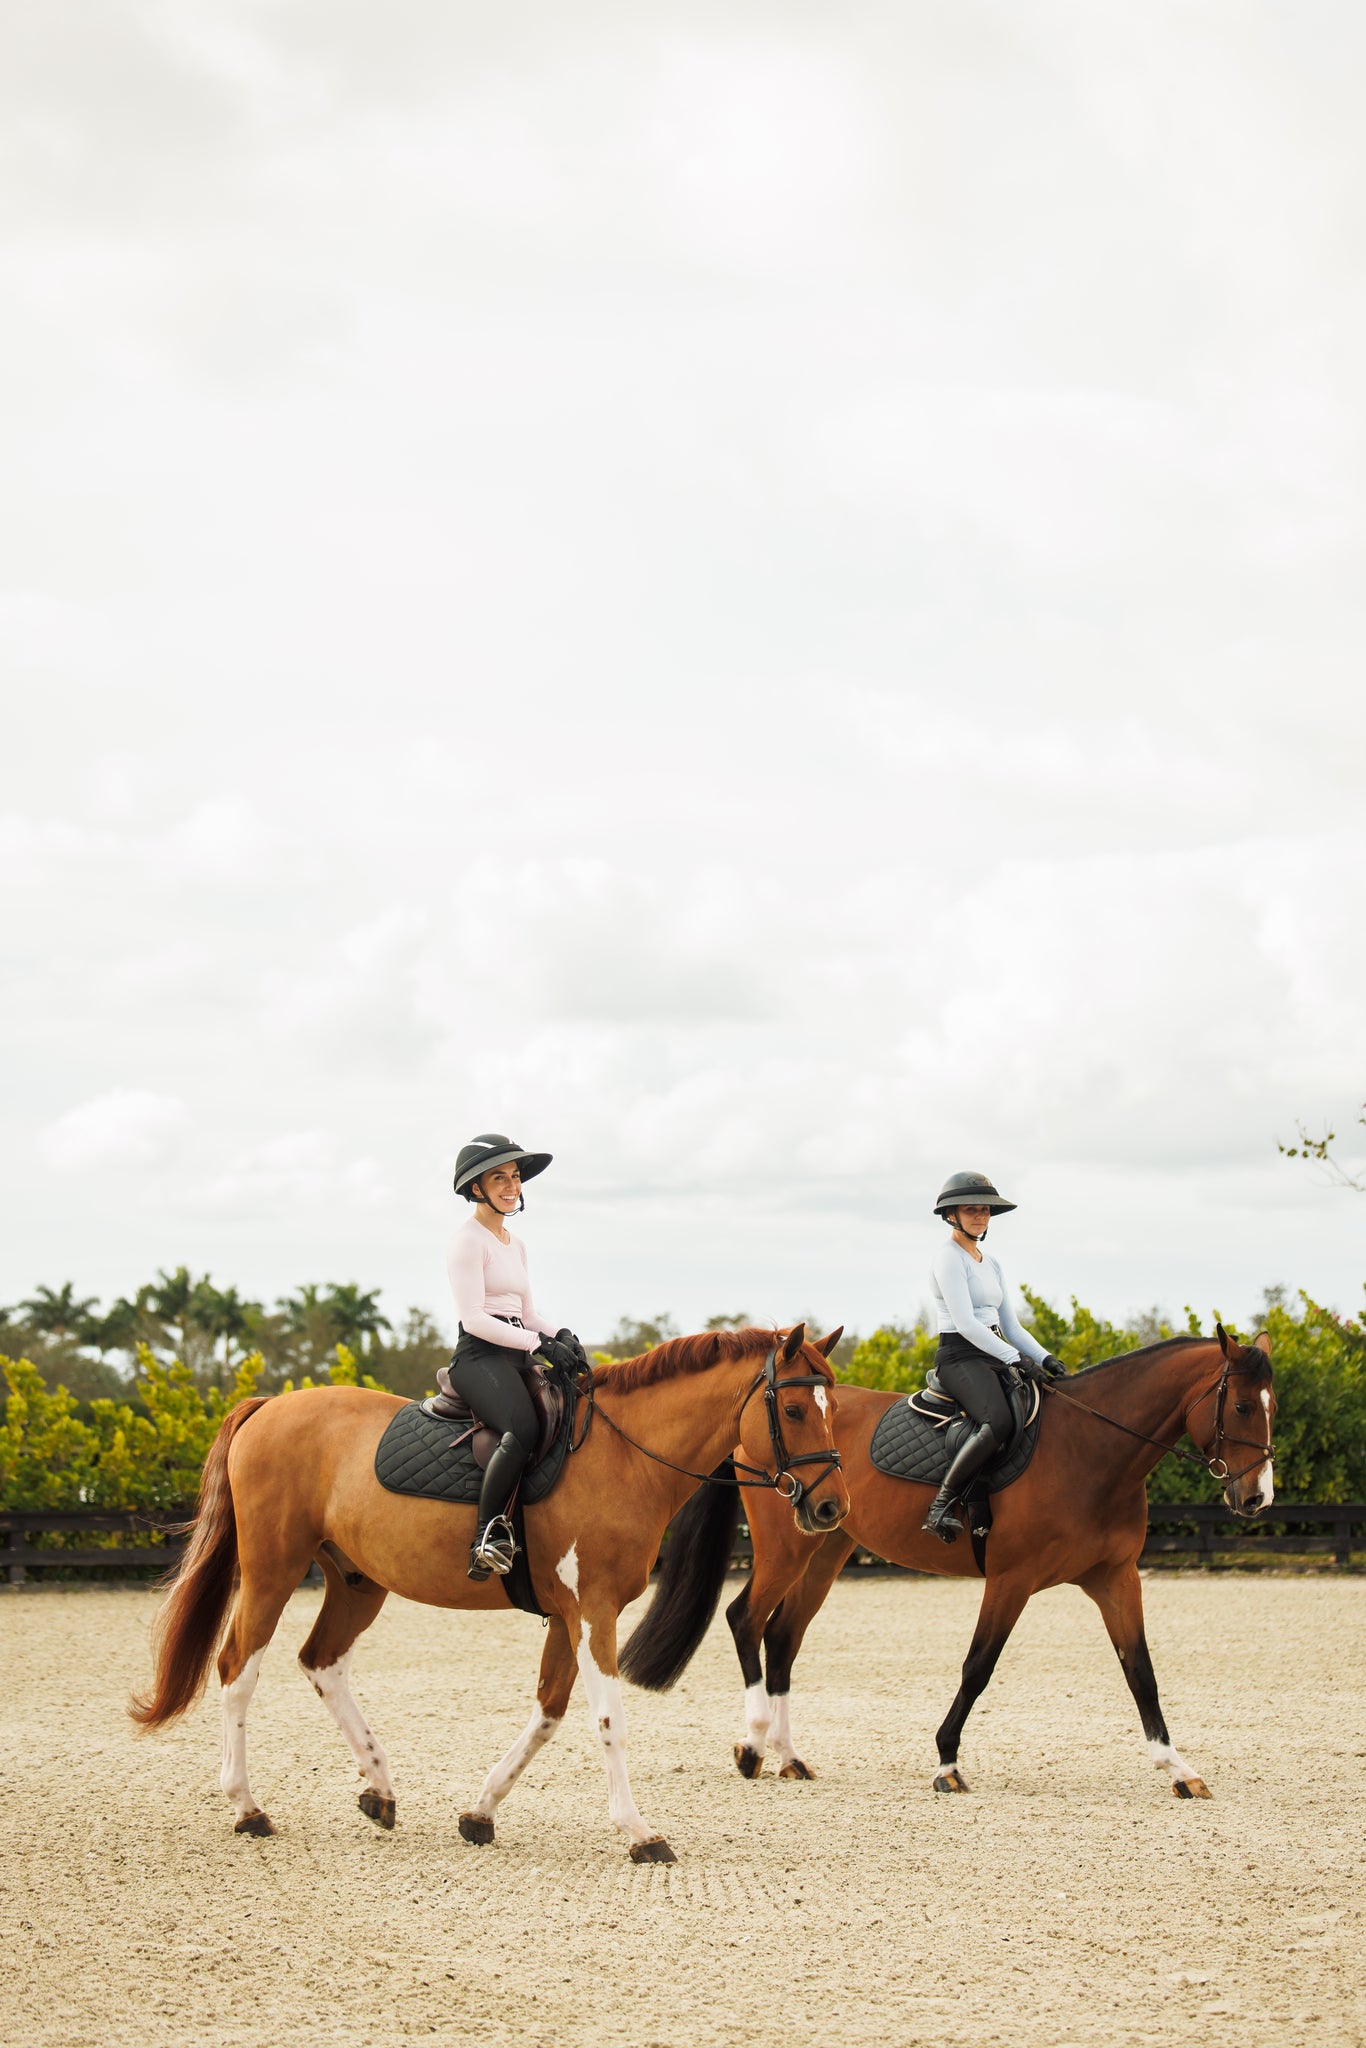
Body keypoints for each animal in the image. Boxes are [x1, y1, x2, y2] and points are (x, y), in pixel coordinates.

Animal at [133, 1318, 847, 1867]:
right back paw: (247, 1806)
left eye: (833, 1410)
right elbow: (609, 1721)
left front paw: (480, 1812)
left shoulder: (569, 1615)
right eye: (791, 1410)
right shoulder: (594, 1612)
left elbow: (549, 1714)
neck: (624, 1457)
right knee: (238, 1669)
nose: (831, 1508)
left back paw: (379, 1787)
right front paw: (640, 1833)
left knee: (322, 1663)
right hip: (273, 1571)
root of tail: (267, 1407)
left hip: (358, 1582)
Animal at [626, 1327, 1277, 1794]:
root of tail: (744, 1428)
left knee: (783, 1636)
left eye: (1272, 1406)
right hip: (789, 1549)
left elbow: (1140, 1670)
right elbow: (978, 1667)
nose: (1256, 1498)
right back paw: (754, 1748)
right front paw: (946, 1762)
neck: (1091, 1450)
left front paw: (1178, 1768)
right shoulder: (1012, 1579)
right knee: (746, 1620)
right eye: (1244, 1408)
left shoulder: (1116, 1579)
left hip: (826, 1546)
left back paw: (789, 1757)